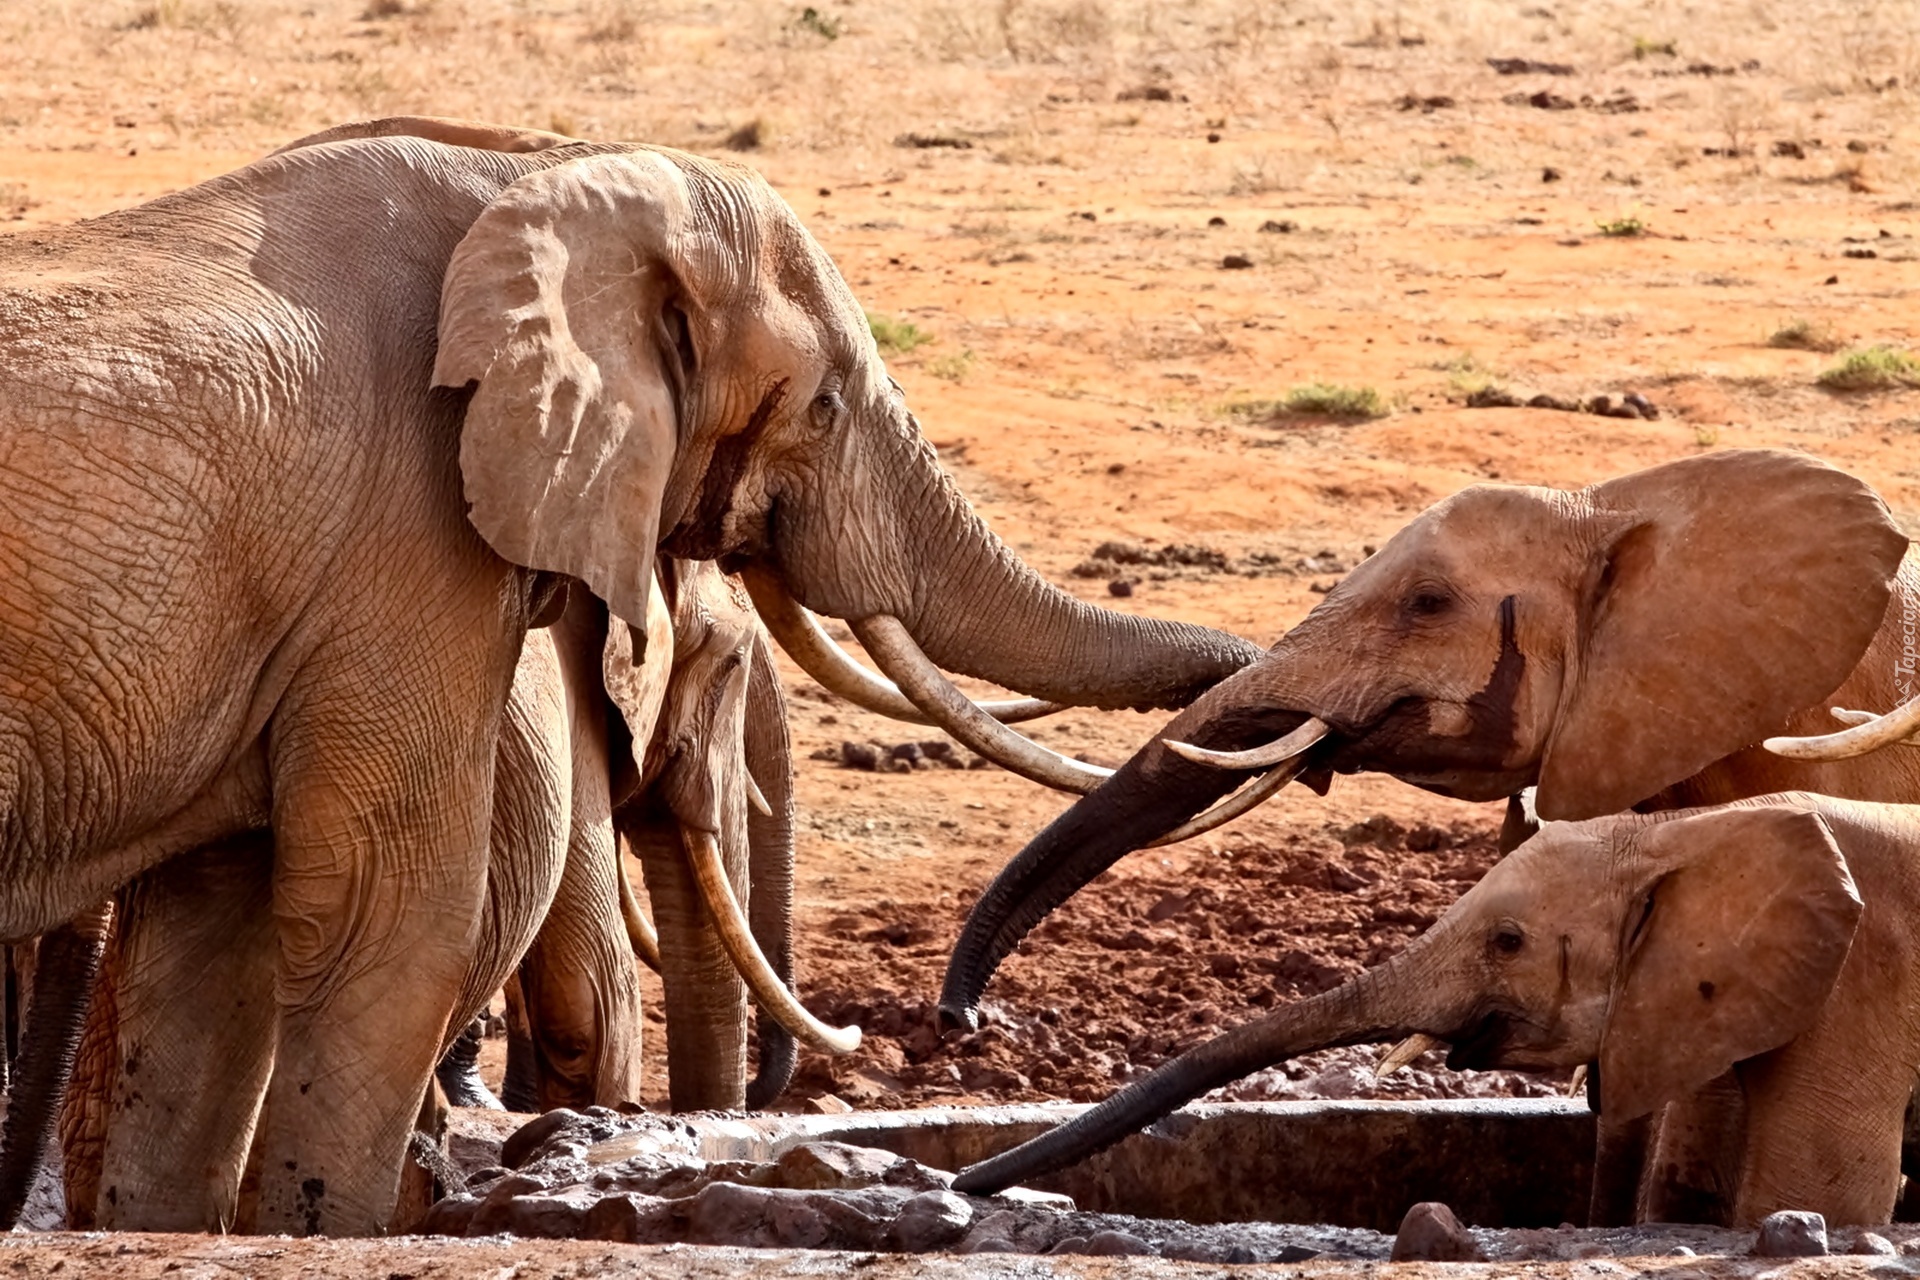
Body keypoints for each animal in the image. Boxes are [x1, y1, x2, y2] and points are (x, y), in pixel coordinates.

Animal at [0, 117, 1259, 1228]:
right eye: (824, 404)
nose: (965, 1025)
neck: (534, 170)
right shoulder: (405, 538)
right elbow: (395, 920)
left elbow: (215, 946)